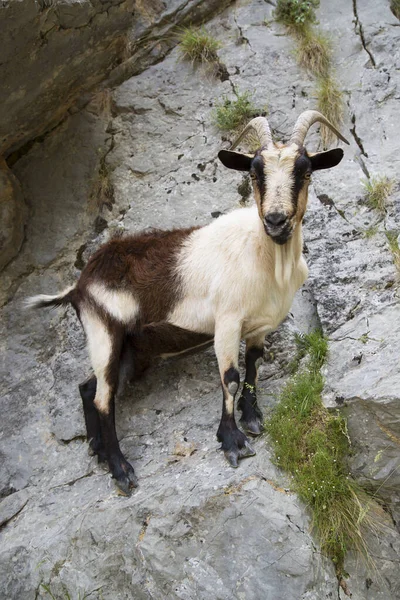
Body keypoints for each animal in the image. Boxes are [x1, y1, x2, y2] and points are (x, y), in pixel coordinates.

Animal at [26, 110, 348, 494]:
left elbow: (253, 365)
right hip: (103, 331)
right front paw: (232, 442)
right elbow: (231, 376)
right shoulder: (227, 321)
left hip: (129, 349)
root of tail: (79, 285)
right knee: (104, 397)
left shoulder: (260, 326)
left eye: (306, 172)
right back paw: (122, 471)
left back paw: (99, 451)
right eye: (254, 173)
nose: (275, 220)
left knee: (89, 387)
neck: (266, 259)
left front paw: (253, 418)